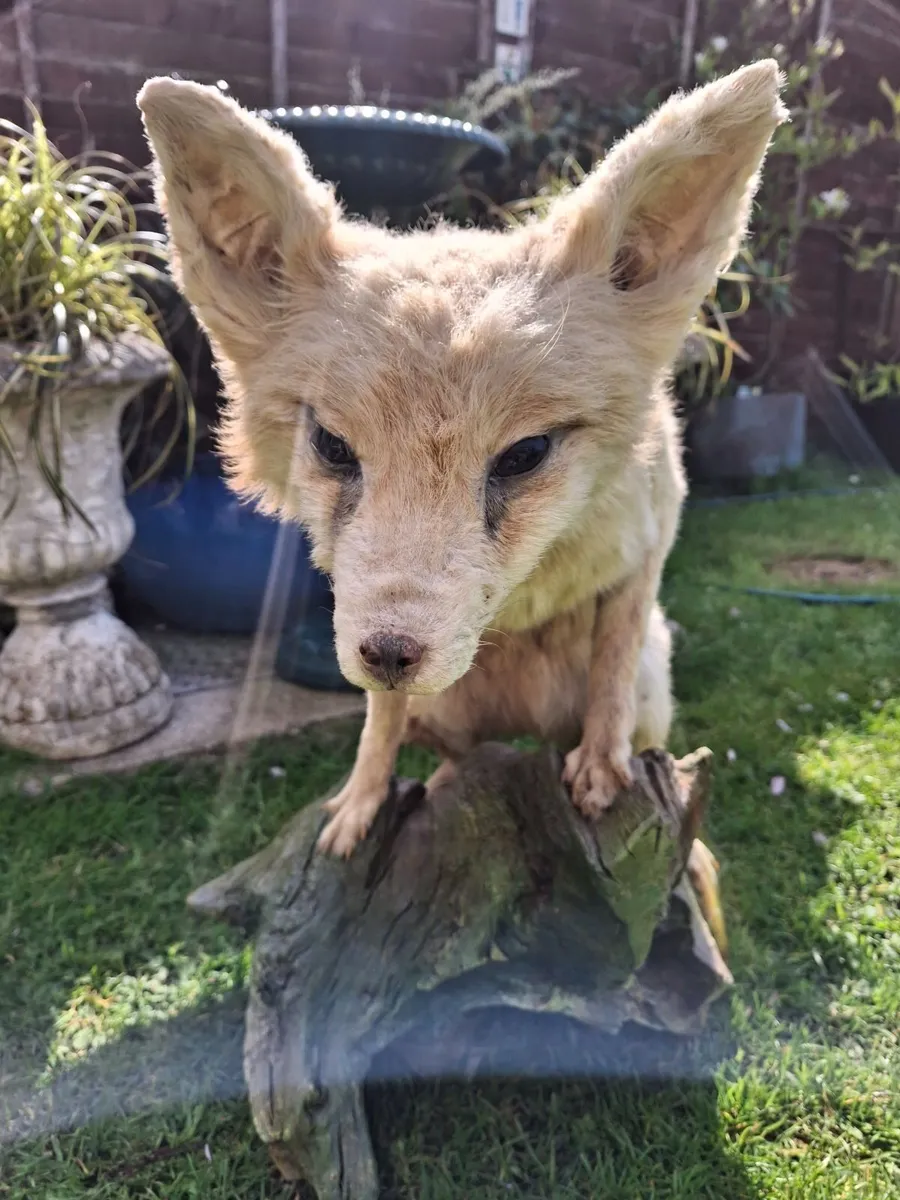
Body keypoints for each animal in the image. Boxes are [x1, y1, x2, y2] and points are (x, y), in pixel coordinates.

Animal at [138, 64, 786, 882]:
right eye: (333, 446)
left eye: (525, 454)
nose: (389, 653)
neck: (529, 589)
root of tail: (519, 726)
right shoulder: (380, 659)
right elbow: (376, 733)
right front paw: (358, 808)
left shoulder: (642, 558)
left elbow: (608, 682)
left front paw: (599, 773)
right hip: (442, 708)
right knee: (453, 761)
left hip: (652, 696)